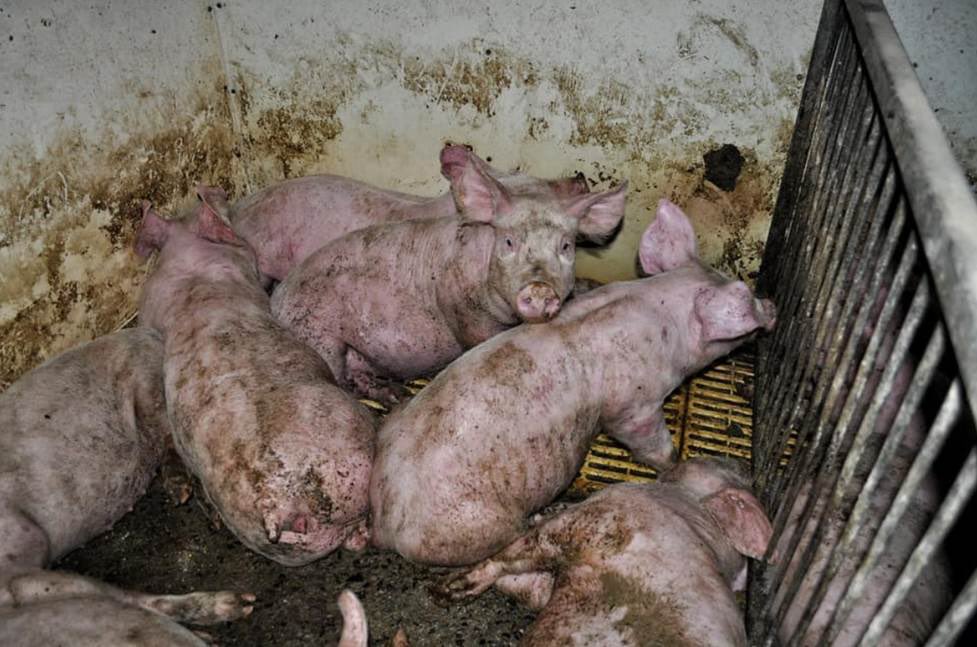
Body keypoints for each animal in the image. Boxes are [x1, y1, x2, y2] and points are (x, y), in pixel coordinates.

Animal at [0, 328, 254, 625]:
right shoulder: (143, 378)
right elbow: (168, 435)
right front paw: (183, 493)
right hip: (24, 561)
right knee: (134, 601)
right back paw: (238, 604)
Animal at [270, 145, 628, 402]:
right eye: (508, 242)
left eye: (566, 246)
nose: (539, 288)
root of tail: (277, 299)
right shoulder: (460, 308)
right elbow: (480, 340)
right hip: (318, 334)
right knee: (337, 377)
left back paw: (393, 394)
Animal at [369, 198, 776, 566]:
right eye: (746, 304)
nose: (772, 306)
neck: (665, 315)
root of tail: (385, 524)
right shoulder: (634, 403)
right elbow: (648, 441)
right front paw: (674, 462)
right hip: (478, 523)